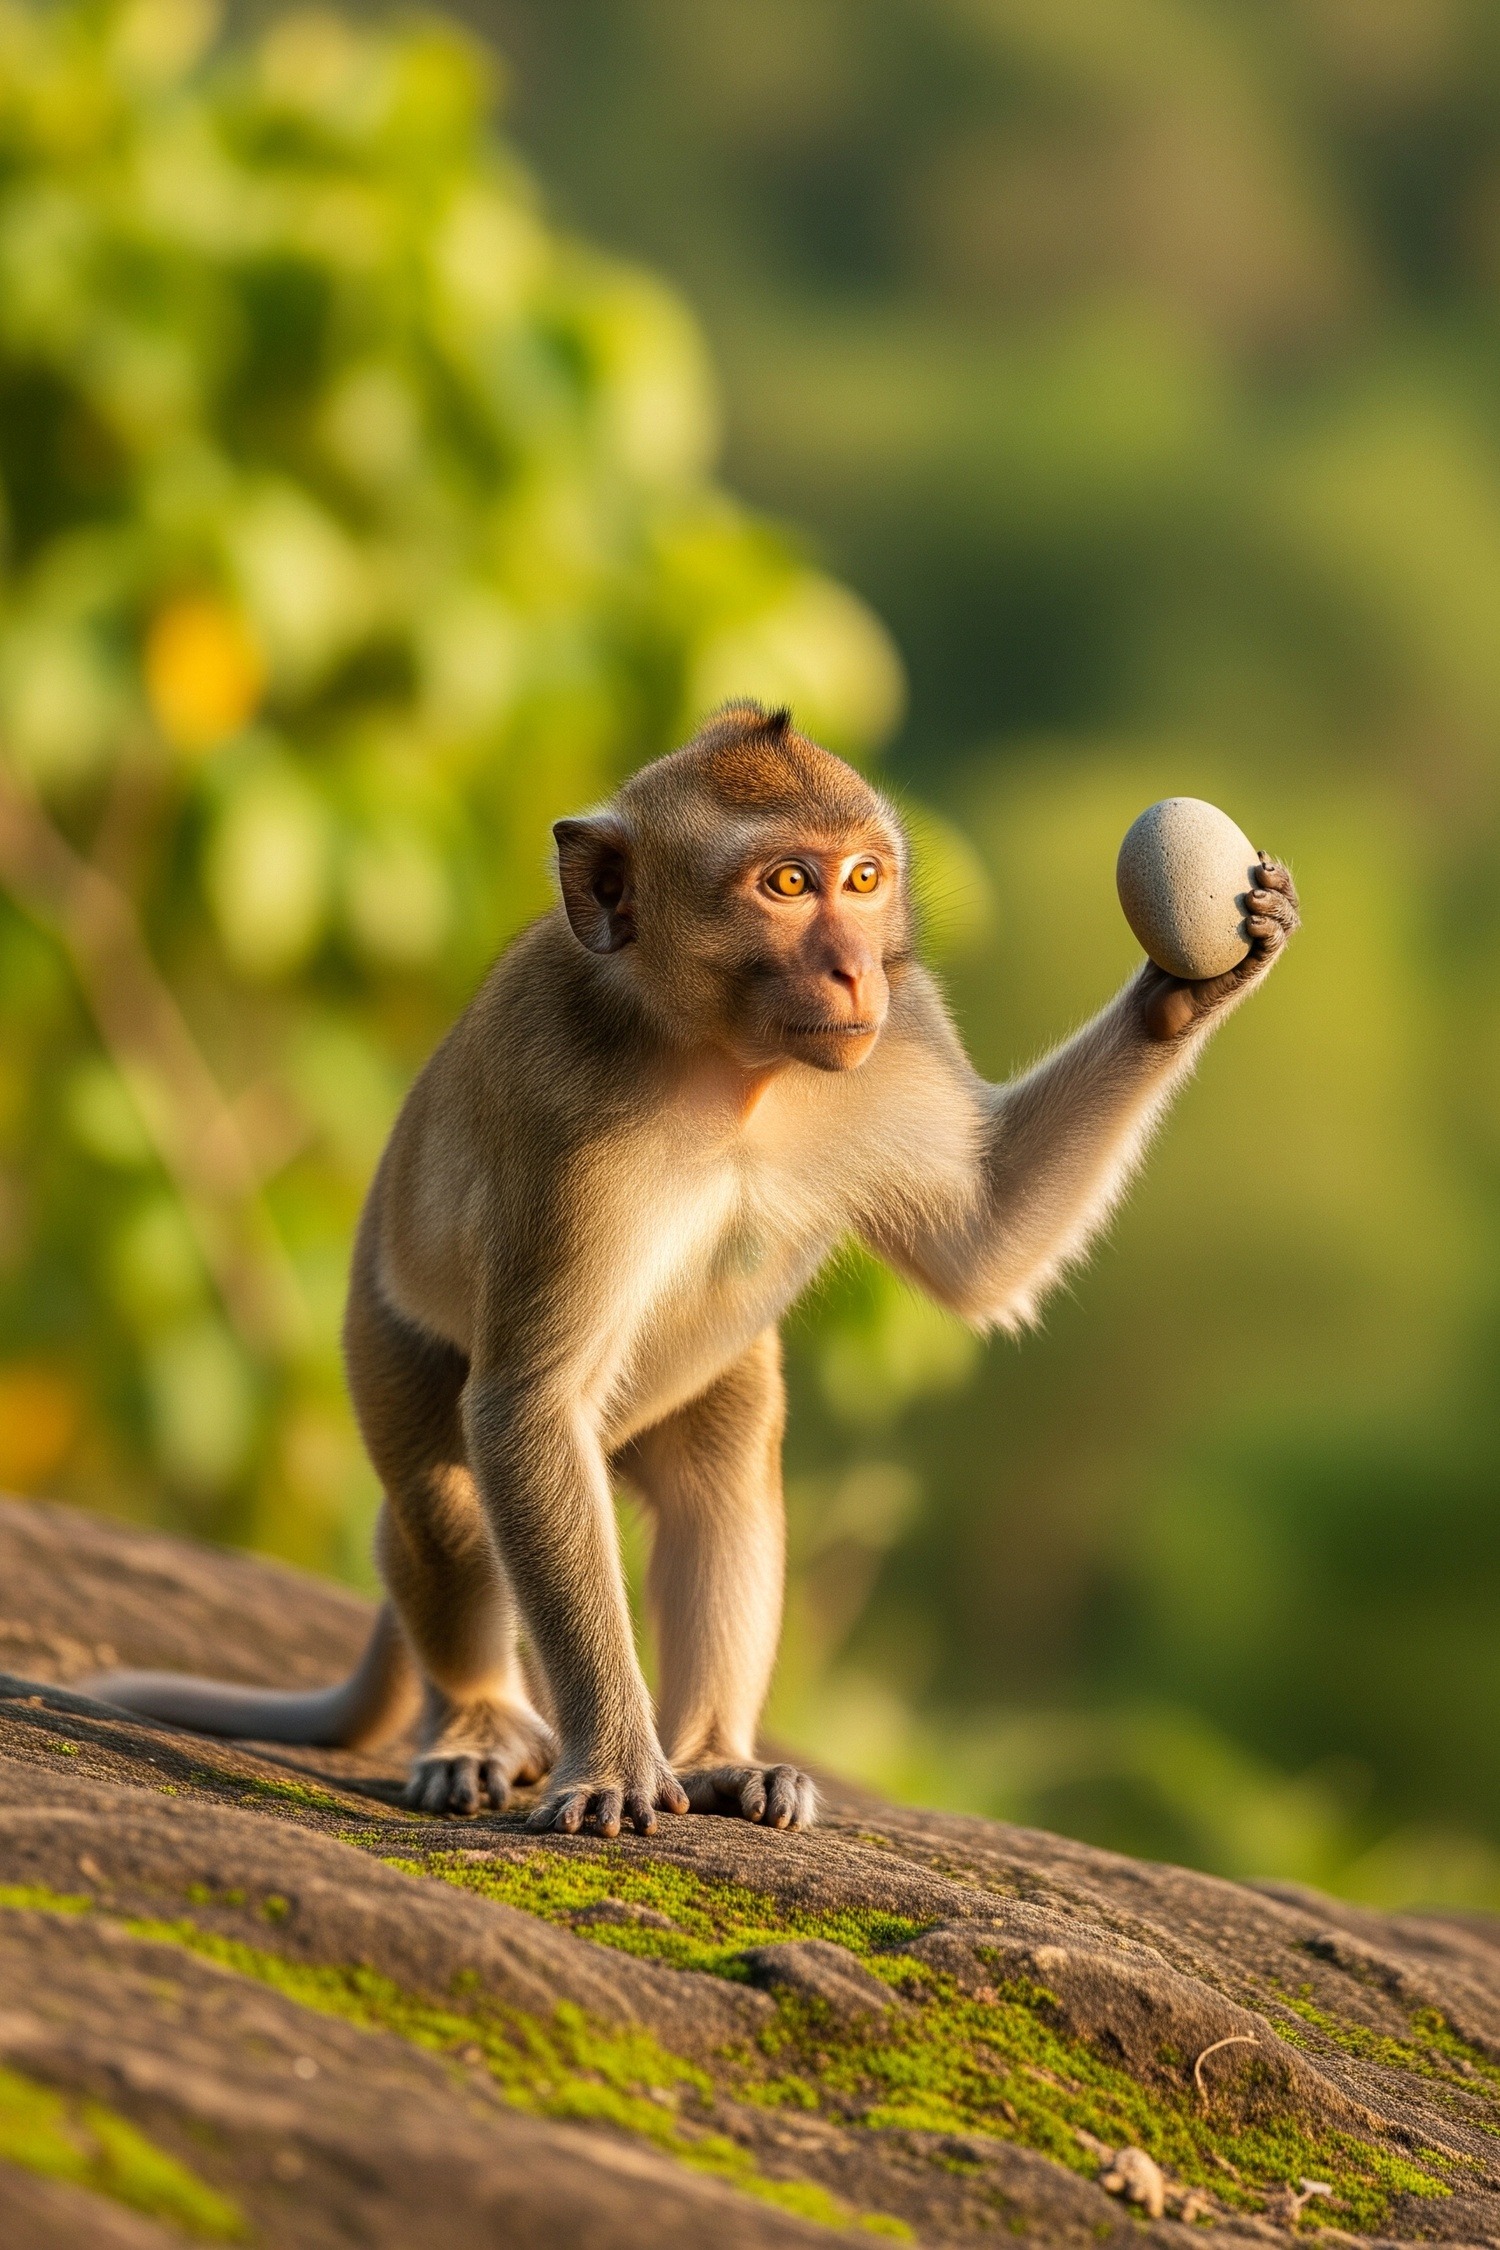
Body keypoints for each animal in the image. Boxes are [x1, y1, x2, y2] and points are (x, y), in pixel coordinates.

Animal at [90, 703, 1299, 1837]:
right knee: (444, 1496)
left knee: (720, 1471)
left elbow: (985, 1244)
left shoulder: (900, 1035)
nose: (853, 968)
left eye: (864, 879)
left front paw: (1201, 980)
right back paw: (478, 1719)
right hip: (380, 1338)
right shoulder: (564, 1119)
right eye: (785, 883)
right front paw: (616, 1760)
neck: (731, 1068)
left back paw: (716, 1753)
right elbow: (528, 1408)